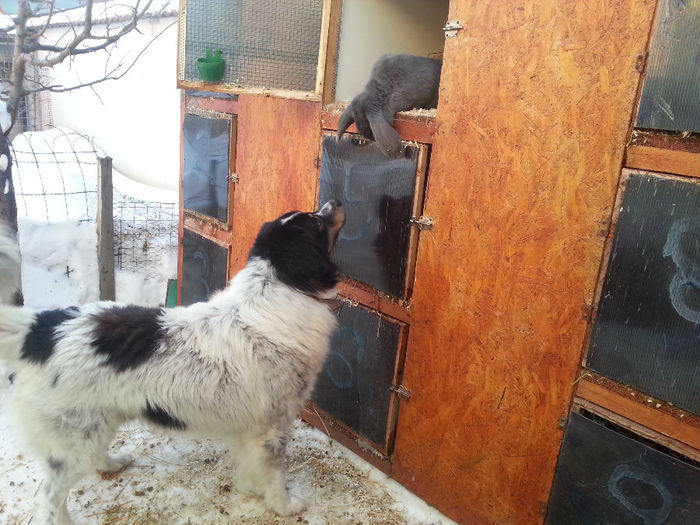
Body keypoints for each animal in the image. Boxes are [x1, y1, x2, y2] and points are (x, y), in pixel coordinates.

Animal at [0, 200, 344, 520]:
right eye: (316, 222)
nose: (337, 202)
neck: (277, 289)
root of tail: (41, 328)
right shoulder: (271, 428)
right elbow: (274, 475)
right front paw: (284, 506)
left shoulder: (249, 430)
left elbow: (251, 467)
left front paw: (252, 490)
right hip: (75, 439)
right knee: (49, 496)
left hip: (98, 425)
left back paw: (113, 463)